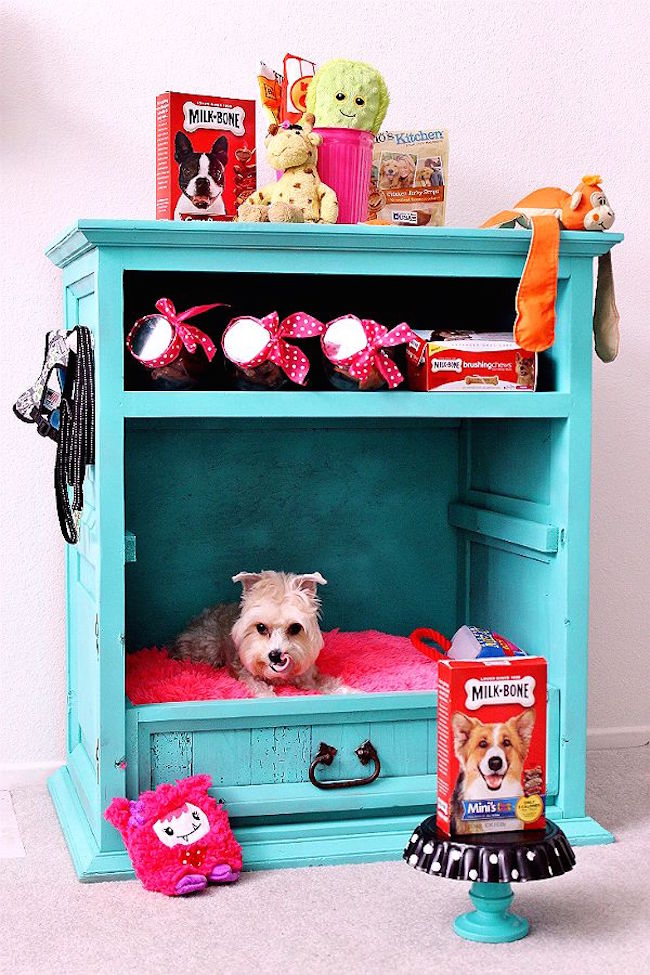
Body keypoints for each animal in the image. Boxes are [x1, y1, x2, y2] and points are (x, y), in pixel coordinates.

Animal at [170, 568, 346, 696]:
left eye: (295, 628)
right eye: (261, 627)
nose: (275, 655)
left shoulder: (307, 675)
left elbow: (323, 682)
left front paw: (343, 690)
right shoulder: (246, 673)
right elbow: (259, 687)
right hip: (210, 645)